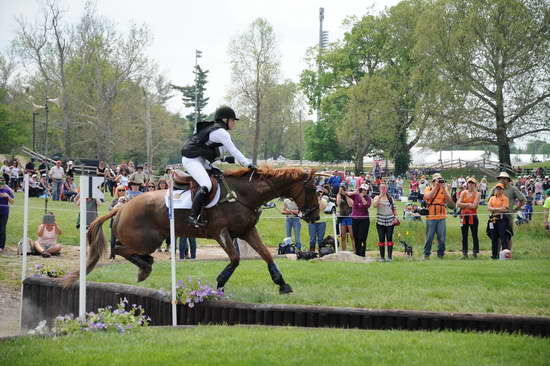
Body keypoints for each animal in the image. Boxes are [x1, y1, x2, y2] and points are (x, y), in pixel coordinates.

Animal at [65, 167, 322, 294]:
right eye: (312, 189)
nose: (315, 217)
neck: (242, 195)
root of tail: (122, 207)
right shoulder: (221, 233)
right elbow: (235, 258)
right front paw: (220, 283)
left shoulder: (247, 231)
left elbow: (267, 255)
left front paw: (282, 284)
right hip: (149, 239)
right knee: (120, 248)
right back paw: (145, 267)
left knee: (123, 249)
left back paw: (145, 265)